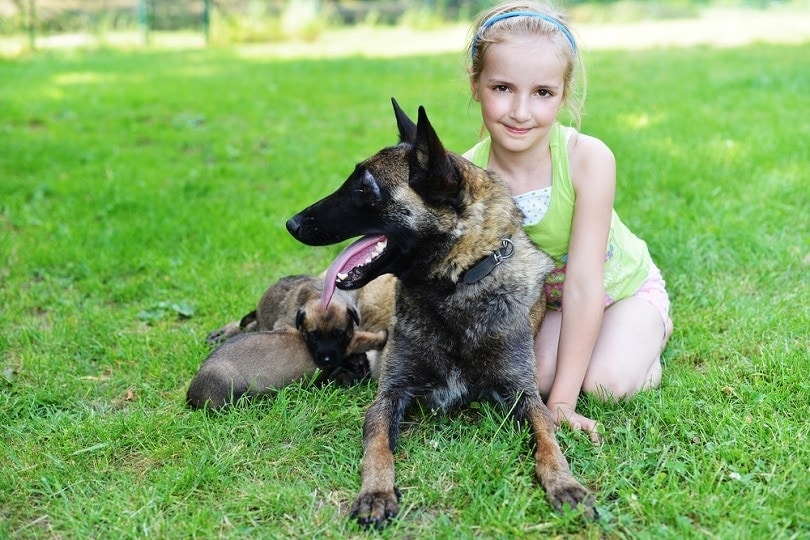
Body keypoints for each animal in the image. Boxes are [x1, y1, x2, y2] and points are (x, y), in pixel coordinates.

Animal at [284, 100, 592, 528]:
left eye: (364, 188)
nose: (290, 223)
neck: (455, 285)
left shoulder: (524, 394)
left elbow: (548, 437)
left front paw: (564, 481)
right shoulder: (390, 395)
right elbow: (378, 445)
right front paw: (376, 491)